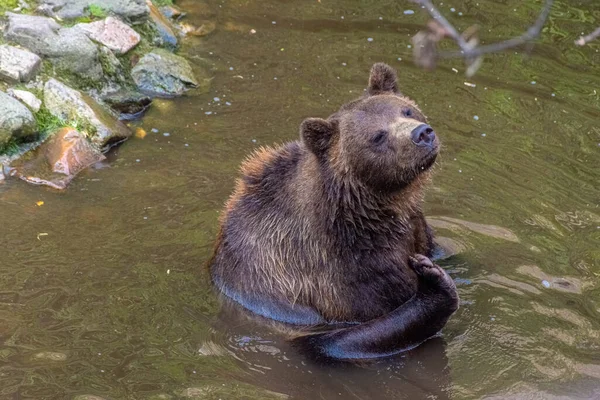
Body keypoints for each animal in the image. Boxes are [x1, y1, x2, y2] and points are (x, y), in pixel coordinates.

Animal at [211, 63, 460, 362]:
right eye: (378, 136)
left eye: (406, 110)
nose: (421, 133)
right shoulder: (344, 266)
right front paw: (429, 278)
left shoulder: (415, 227)